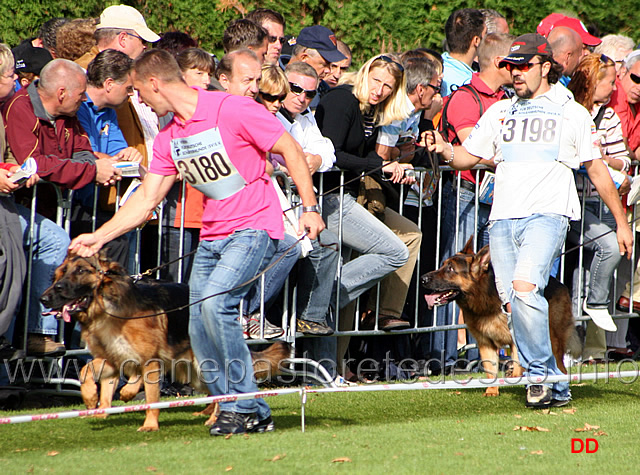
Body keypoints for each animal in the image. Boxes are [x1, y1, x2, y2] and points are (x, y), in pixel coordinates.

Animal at [40, 255, 288, 434]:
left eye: (81, 271)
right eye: (59, 275)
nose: (44, 298)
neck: (109, 308)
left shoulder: (150, 361)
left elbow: (148, 394)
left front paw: (147, 420)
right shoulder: (113, 357)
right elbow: (87, 372)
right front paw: (95, 402)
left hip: (202, 363)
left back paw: (216, 418)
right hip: (191, 372)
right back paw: (208, 411)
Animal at [422, 242, 576, 398]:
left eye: (451, 269)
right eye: (442, 265)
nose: (423, 279)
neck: (484, 297)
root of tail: (561, 284)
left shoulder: (515, 341)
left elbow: (517, 364)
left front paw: (515, 377)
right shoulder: (485, 343)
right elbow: (491, 371)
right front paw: (492, 390)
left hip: (553, 340)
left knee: (559, 367)